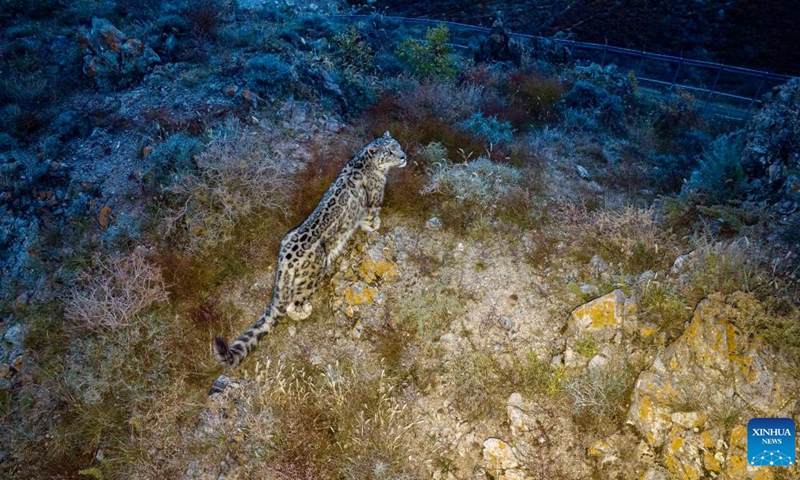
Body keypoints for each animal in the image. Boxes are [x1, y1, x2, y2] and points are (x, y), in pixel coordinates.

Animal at [213, 132, 407, 368]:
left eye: (397, 145)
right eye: (389, 152)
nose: (403, 157)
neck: (367, 164)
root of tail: (285, 261)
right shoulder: (374, 200)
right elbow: (370, 217)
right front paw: (374, 225)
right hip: (312, 278)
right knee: (292, 304)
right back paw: (304, 311)